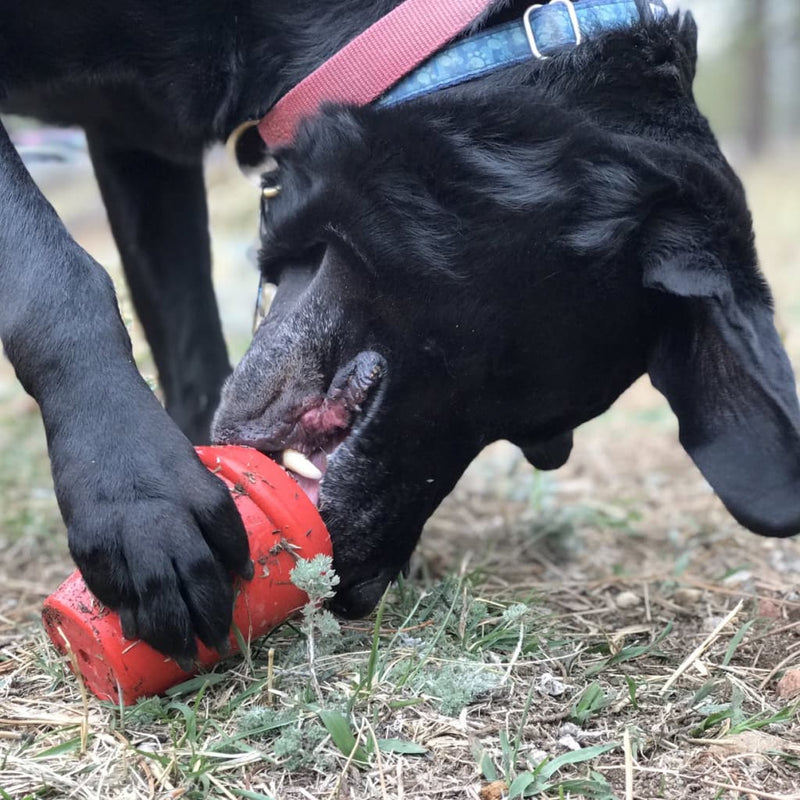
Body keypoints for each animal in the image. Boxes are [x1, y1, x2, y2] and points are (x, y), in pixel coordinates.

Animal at [0, 1, 796, 664]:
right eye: (506, 380)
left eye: (536, 437)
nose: (362, 590)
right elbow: (60, 275)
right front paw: (137, 496)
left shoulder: (140, 148)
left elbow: (190, 342)